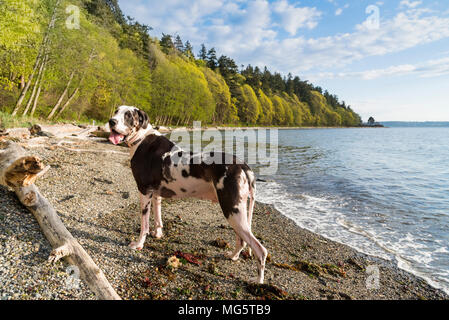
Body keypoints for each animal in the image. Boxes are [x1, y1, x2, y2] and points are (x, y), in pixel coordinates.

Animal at [107, 105, 268, 282]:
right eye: (116, 111)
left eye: (128, 115)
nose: (111, 121)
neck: (141, 138)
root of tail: (243, 166)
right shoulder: (156, 194)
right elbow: (157, 218)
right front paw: (158, 233)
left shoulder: (144, 192)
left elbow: (144, 225)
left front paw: (138, 244)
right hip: (237, 211)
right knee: (242, 241)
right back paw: (232, 256)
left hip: (232, 211)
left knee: (260, 250)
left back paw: (258, 282)